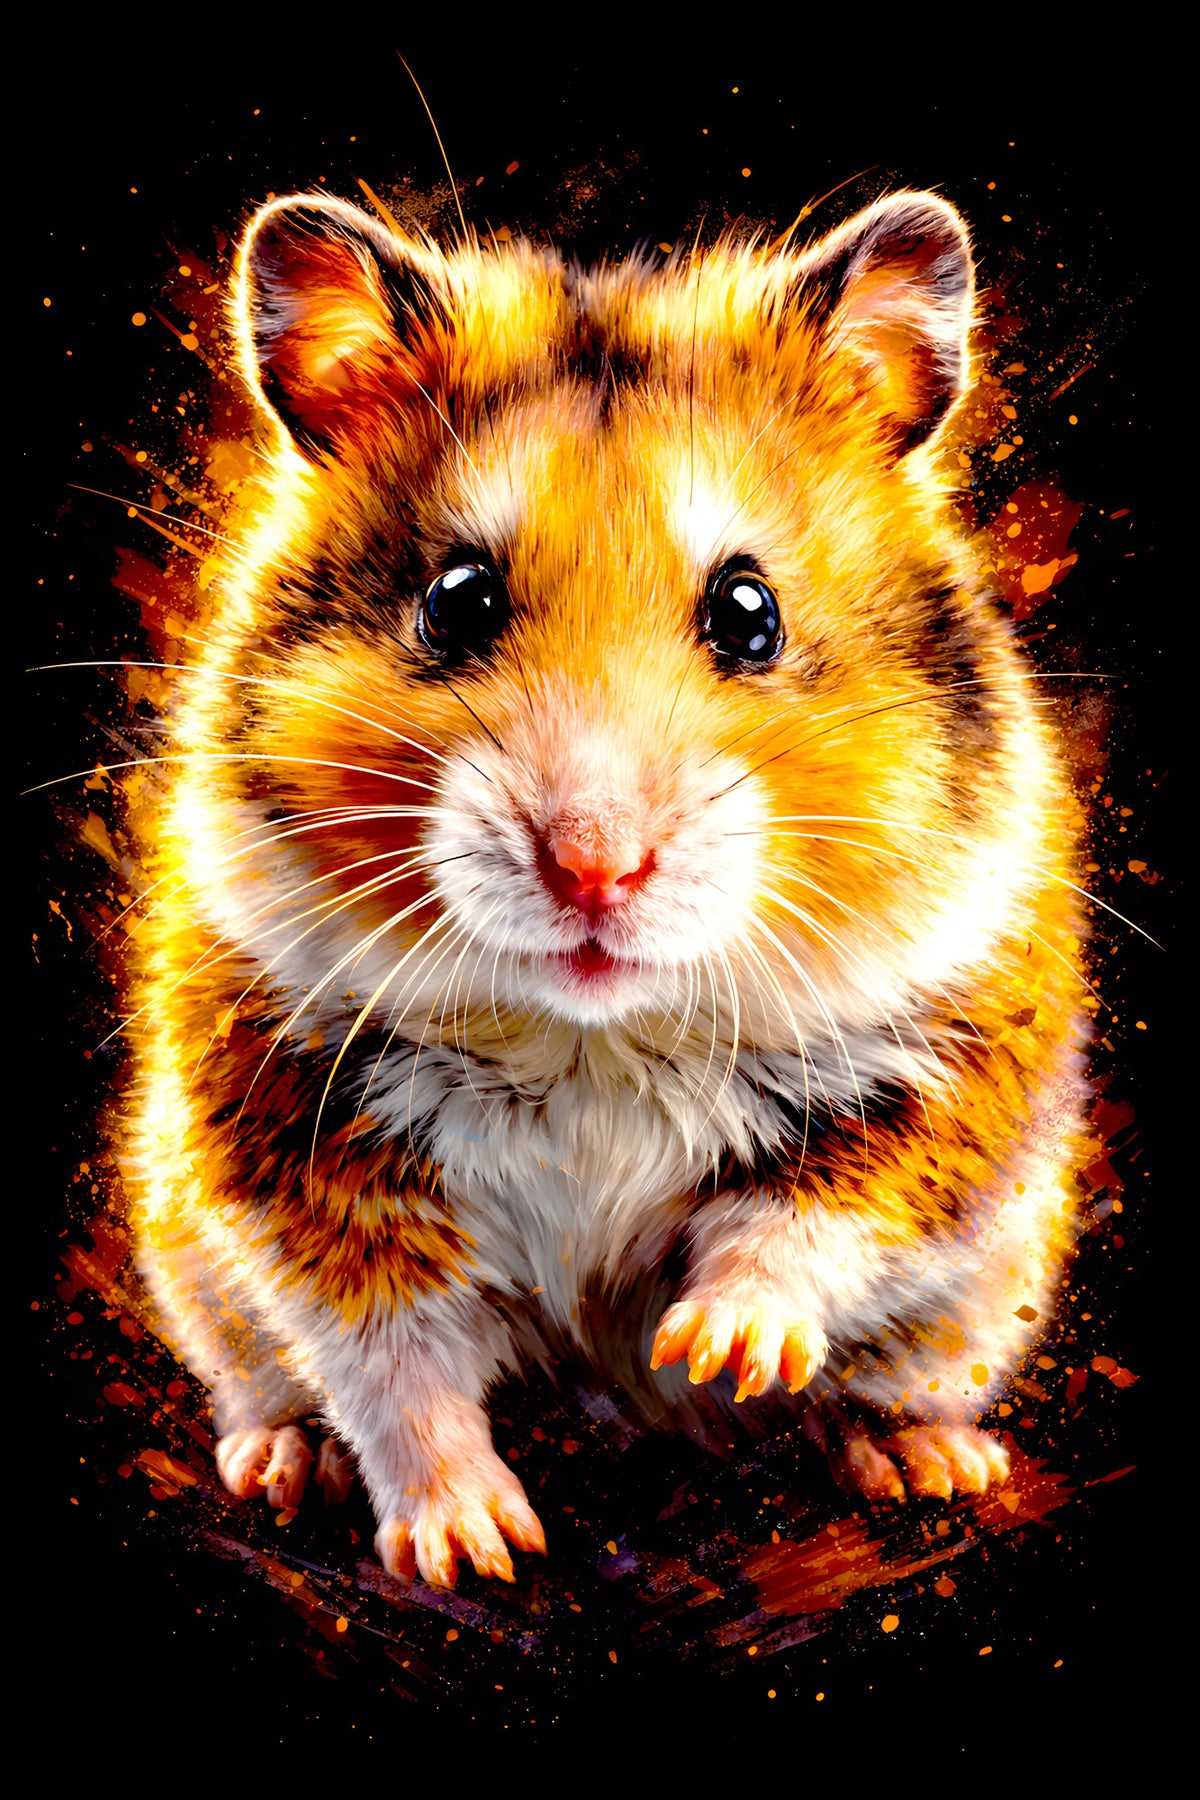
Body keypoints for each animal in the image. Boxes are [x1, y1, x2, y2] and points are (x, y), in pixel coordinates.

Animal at [124, 187, 1089, 1588]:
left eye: (750, 610)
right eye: (455, 600)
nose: (594, 866)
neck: (595, 1041)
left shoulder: (953, 1067)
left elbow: (811, 1222)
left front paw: (716, 1349)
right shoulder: (293, 1143)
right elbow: (394, 1368)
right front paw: (475, 1551)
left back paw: (926, 1460)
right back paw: (279, 1464)